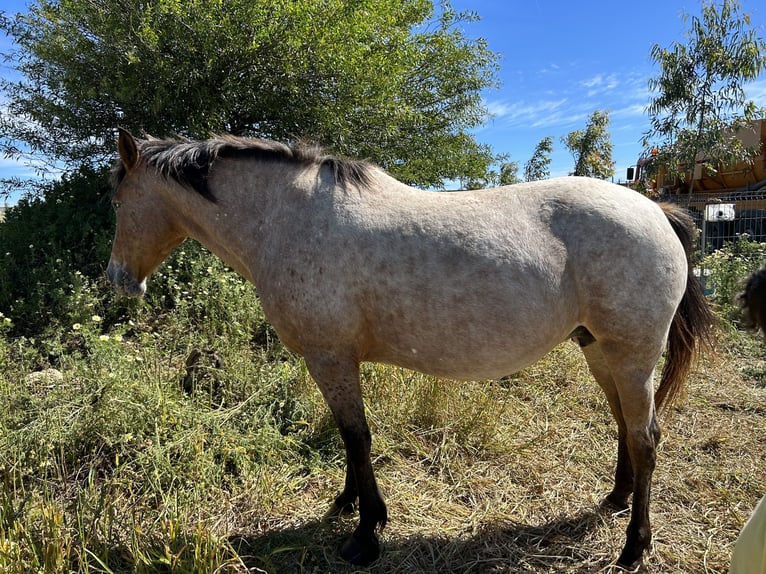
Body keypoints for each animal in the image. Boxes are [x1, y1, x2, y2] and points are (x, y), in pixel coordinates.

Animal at [109, 129, 720, 572]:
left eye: (118, 199)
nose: (117, 280)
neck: (289, 219)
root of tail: (656, 210)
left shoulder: (329, 358)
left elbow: (356, 437)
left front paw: (365, 532)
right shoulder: (335, 362)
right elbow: (348, 437)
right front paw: (346, 505)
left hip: (631, 355)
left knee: (646, 439)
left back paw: (634, 546)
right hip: (601, 351)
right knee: (623, 426)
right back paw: (615, 499)